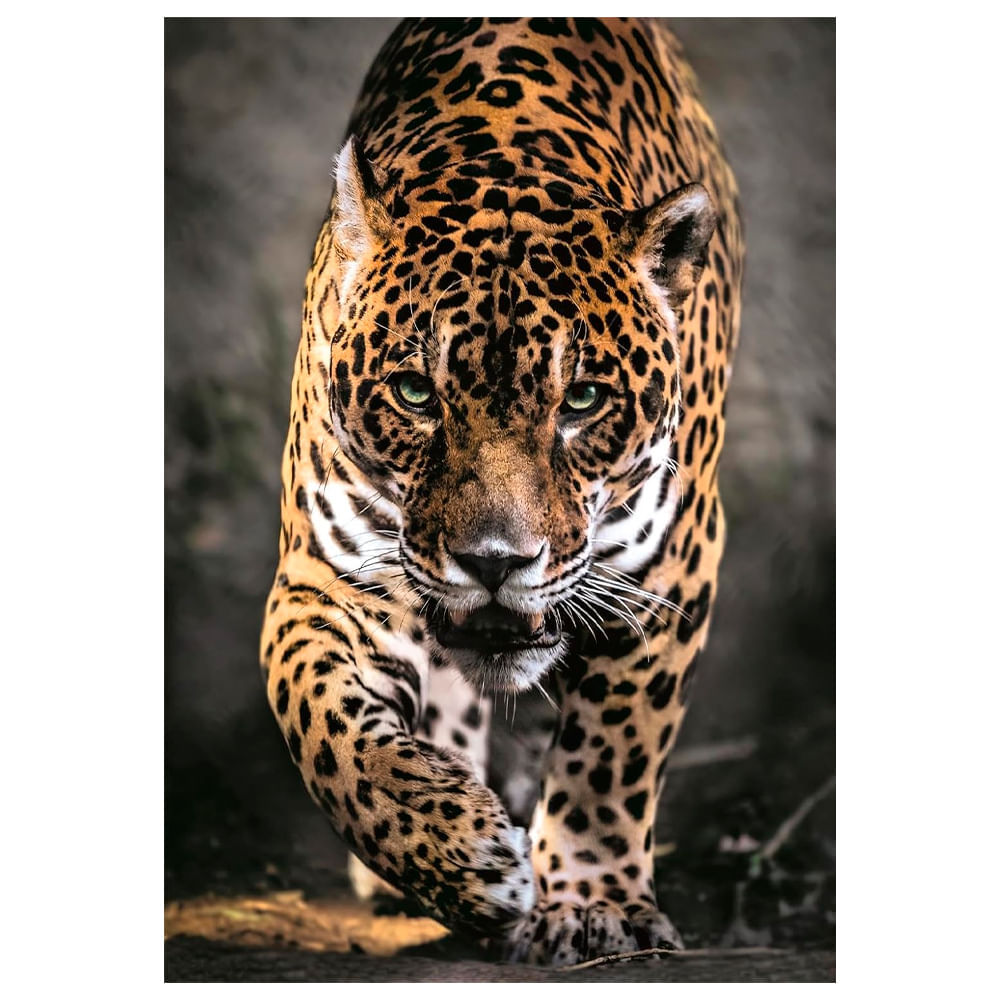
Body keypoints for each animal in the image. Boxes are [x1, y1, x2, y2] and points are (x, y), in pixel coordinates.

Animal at [260, 16, 743, 965]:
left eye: (582, 400)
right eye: (416, 393)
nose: (494, 562)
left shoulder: (669, 568)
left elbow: (613, 750)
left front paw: (594, 905)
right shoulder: (324, 576)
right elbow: (323, 723)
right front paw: (458, 855)